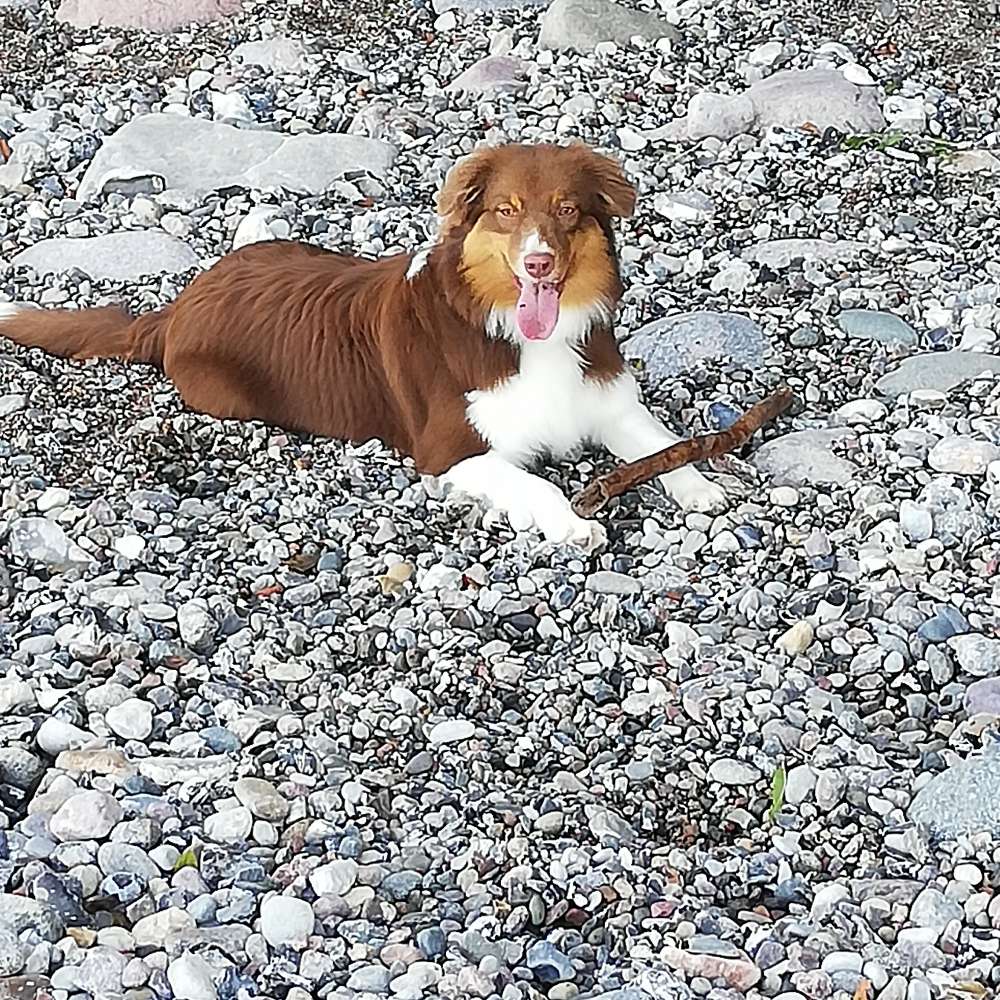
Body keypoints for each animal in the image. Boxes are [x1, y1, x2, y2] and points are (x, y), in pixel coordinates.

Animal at [0, 141, 724, 548]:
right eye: (506, 211)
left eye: (569, 210)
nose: (540, 264)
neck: (511, 331)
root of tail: (179, 304)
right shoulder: (451, 452)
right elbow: (539, 484)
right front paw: (574, 524)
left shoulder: (607, 400)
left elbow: (663, 442)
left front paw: (699, 488)